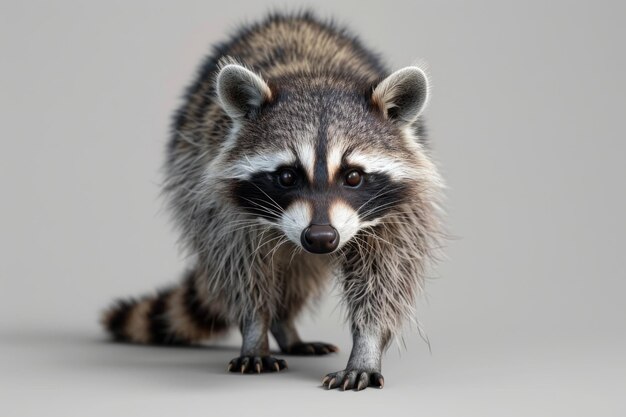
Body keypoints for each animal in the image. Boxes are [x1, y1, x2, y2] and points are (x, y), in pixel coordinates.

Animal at [102, 12, 442, 390]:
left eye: (353, 177)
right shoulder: (222, 208)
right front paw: (254, 329)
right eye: (287, 177)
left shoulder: (399, 213)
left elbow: (385, 276)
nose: (320, 237)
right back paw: (280, 325)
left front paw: (367, 344)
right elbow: (242, 269)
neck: (314, 76)